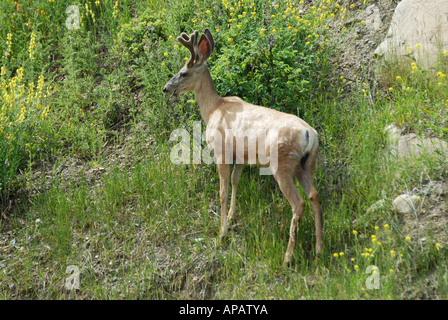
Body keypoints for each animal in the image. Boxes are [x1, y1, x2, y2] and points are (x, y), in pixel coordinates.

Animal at [163, 28, 324, 264]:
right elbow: (235, 182)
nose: (166, 88)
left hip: (282, 163)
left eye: (183, 72)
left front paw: (221, 232)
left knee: (298, 203)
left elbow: (222, 191)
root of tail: (309, 133)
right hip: (306, 164)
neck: (213, 108)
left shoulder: (221, 152)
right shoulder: (240, 156)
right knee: (313, 195)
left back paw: (287, 257)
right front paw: (231, 217)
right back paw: (319, 248)